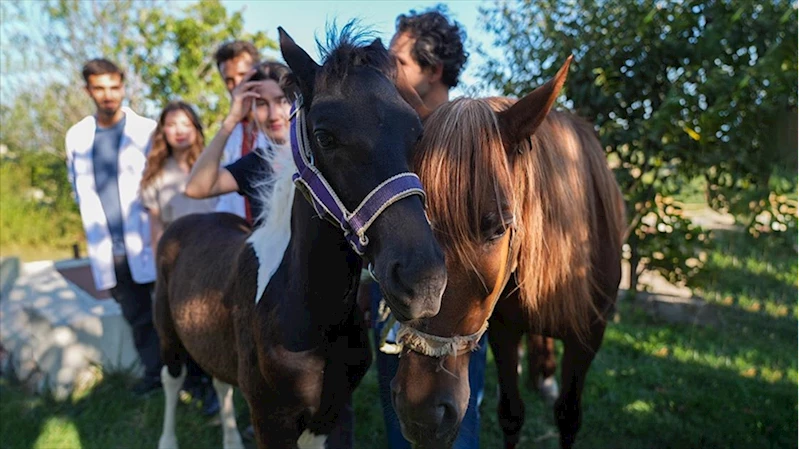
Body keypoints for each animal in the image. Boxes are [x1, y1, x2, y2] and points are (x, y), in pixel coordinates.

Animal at [154, 24, 447, 449]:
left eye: (416, 132)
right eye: (324, 136)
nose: (423, 281)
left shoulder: (334, 413)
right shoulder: (270, 419)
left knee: (220, 382)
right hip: (167, 333)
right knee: (172, 381)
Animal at [389, 57, 626, 449]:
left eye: (498, 229)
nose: (420, 413)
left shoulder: (588, 338)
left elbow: (568, 417)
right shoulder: (503, 330)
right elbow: (511, 415)